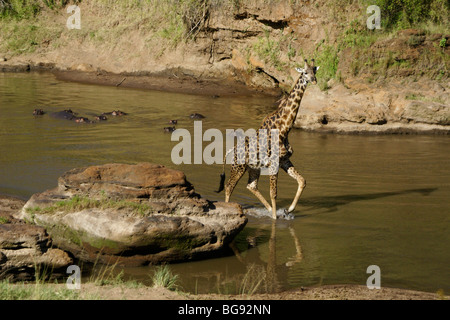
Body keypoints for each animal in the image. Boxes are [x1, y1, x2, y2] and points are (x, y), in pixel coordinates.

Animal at [215, 58, 318, 219]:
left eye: (315, 71)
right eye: (305, 72)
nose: (314, 80)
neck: (285, 128)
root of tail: (232, 149)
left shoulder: (284, 160)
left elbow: (302, 181)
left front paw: (288, 210)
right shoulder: (274, 163)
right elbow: (273, 193)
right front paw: (276, 218)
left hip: (253, 168)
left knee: (251, 185)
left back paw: (268, 210)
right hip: (238, 167)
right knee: (228, 187)